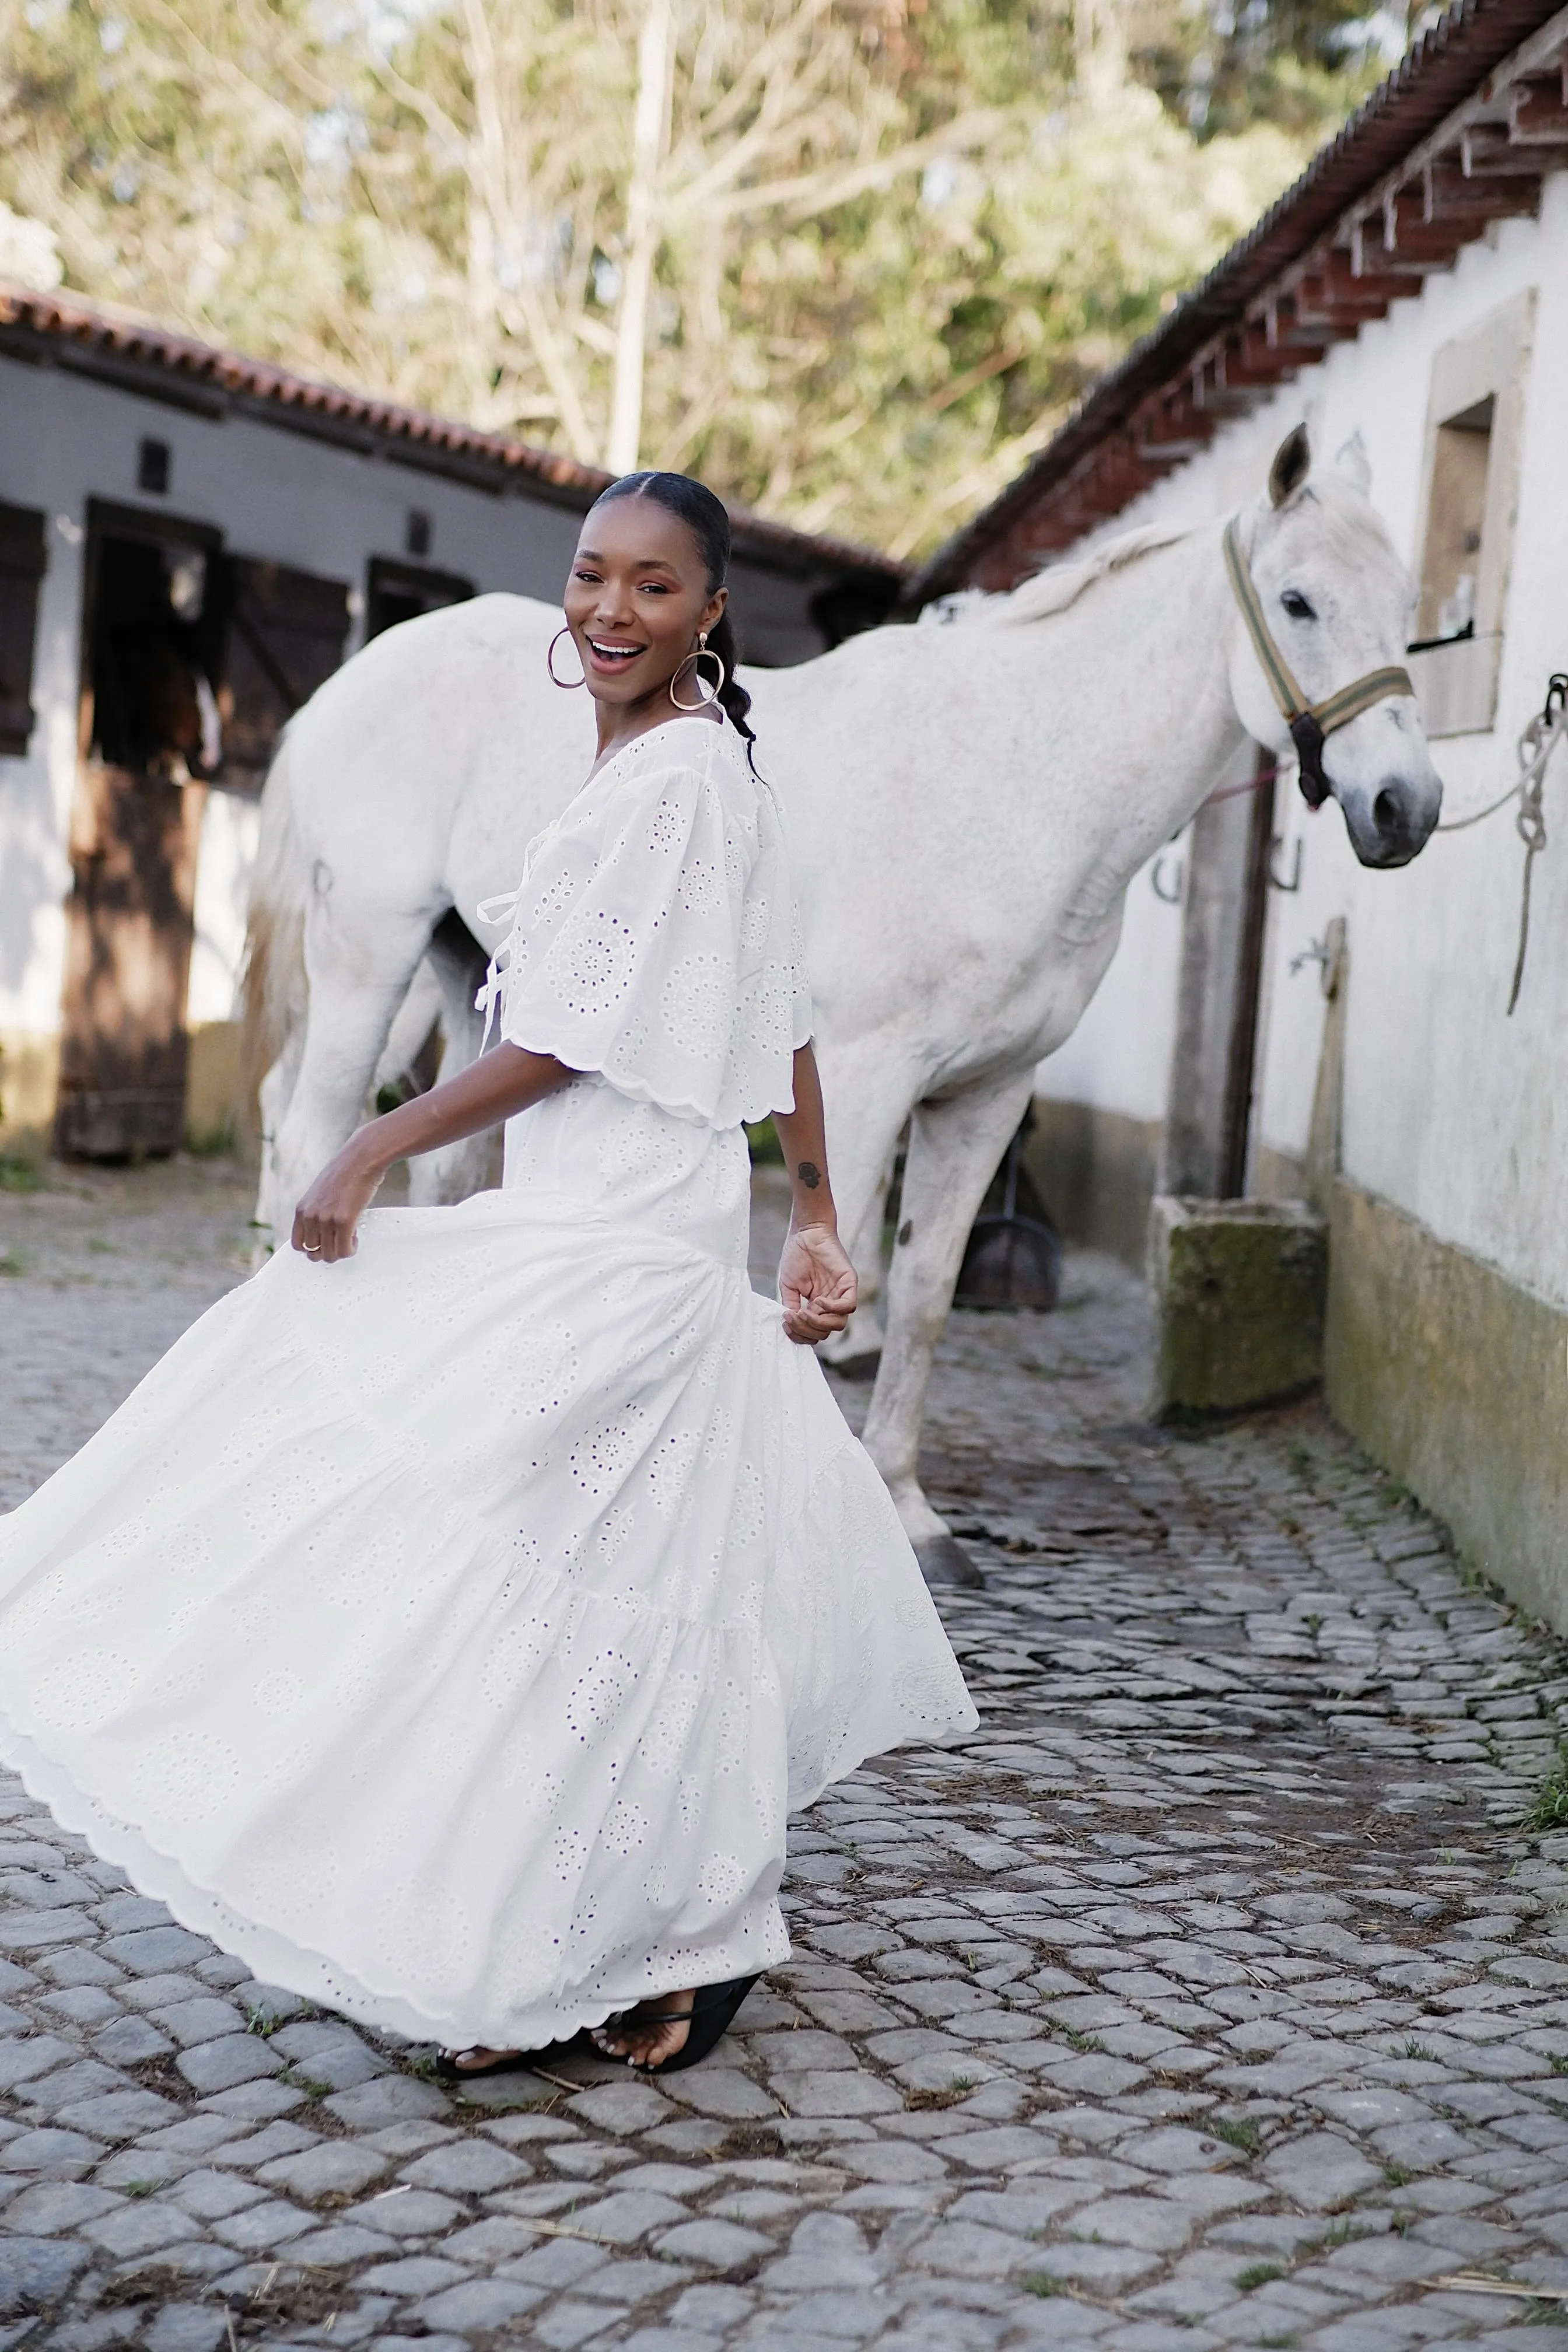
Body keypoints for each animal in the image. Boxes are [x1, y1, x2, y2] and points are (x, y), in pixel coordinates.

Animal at [248, 432, 1448, 1590]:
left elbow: (921, 1292)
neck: (1016, 779)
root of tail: (352, 680)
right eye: (1296, 601)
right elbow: (830, 1278)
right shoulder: (867, 1076)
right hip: (371, 950)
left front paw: (911, 1513)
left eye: (1406, 605)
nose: (1405, 806)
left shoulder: (986, 1093)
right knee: (314, 1133)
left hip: (475, 971)